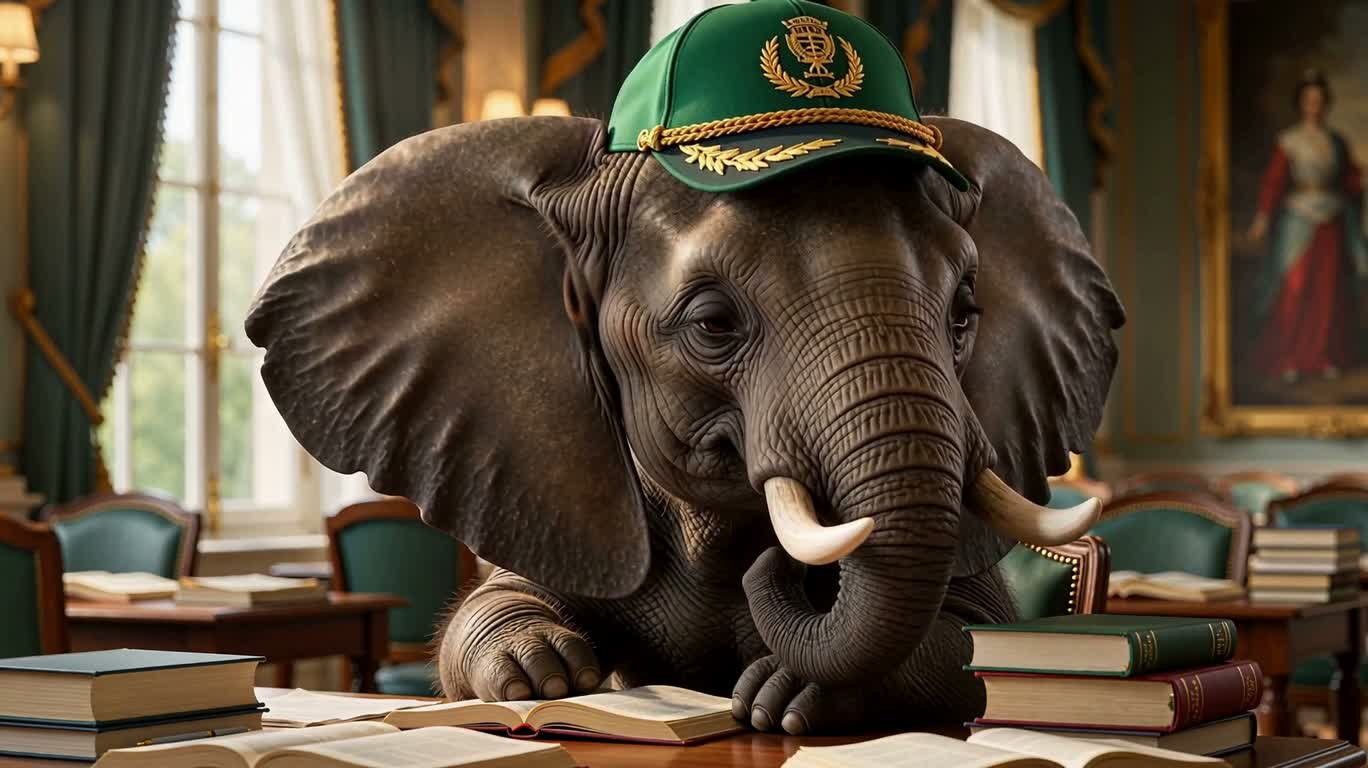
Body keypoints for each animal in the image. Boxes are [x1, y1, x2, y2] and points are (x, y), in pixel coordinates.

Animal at [245, 114, 1124, 734]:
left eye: (966, 313)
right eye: (712, 324)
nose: (780, 573)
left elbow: (981, 643)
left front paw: (788, 691)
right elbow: (491, 603)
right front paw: (553, 674)